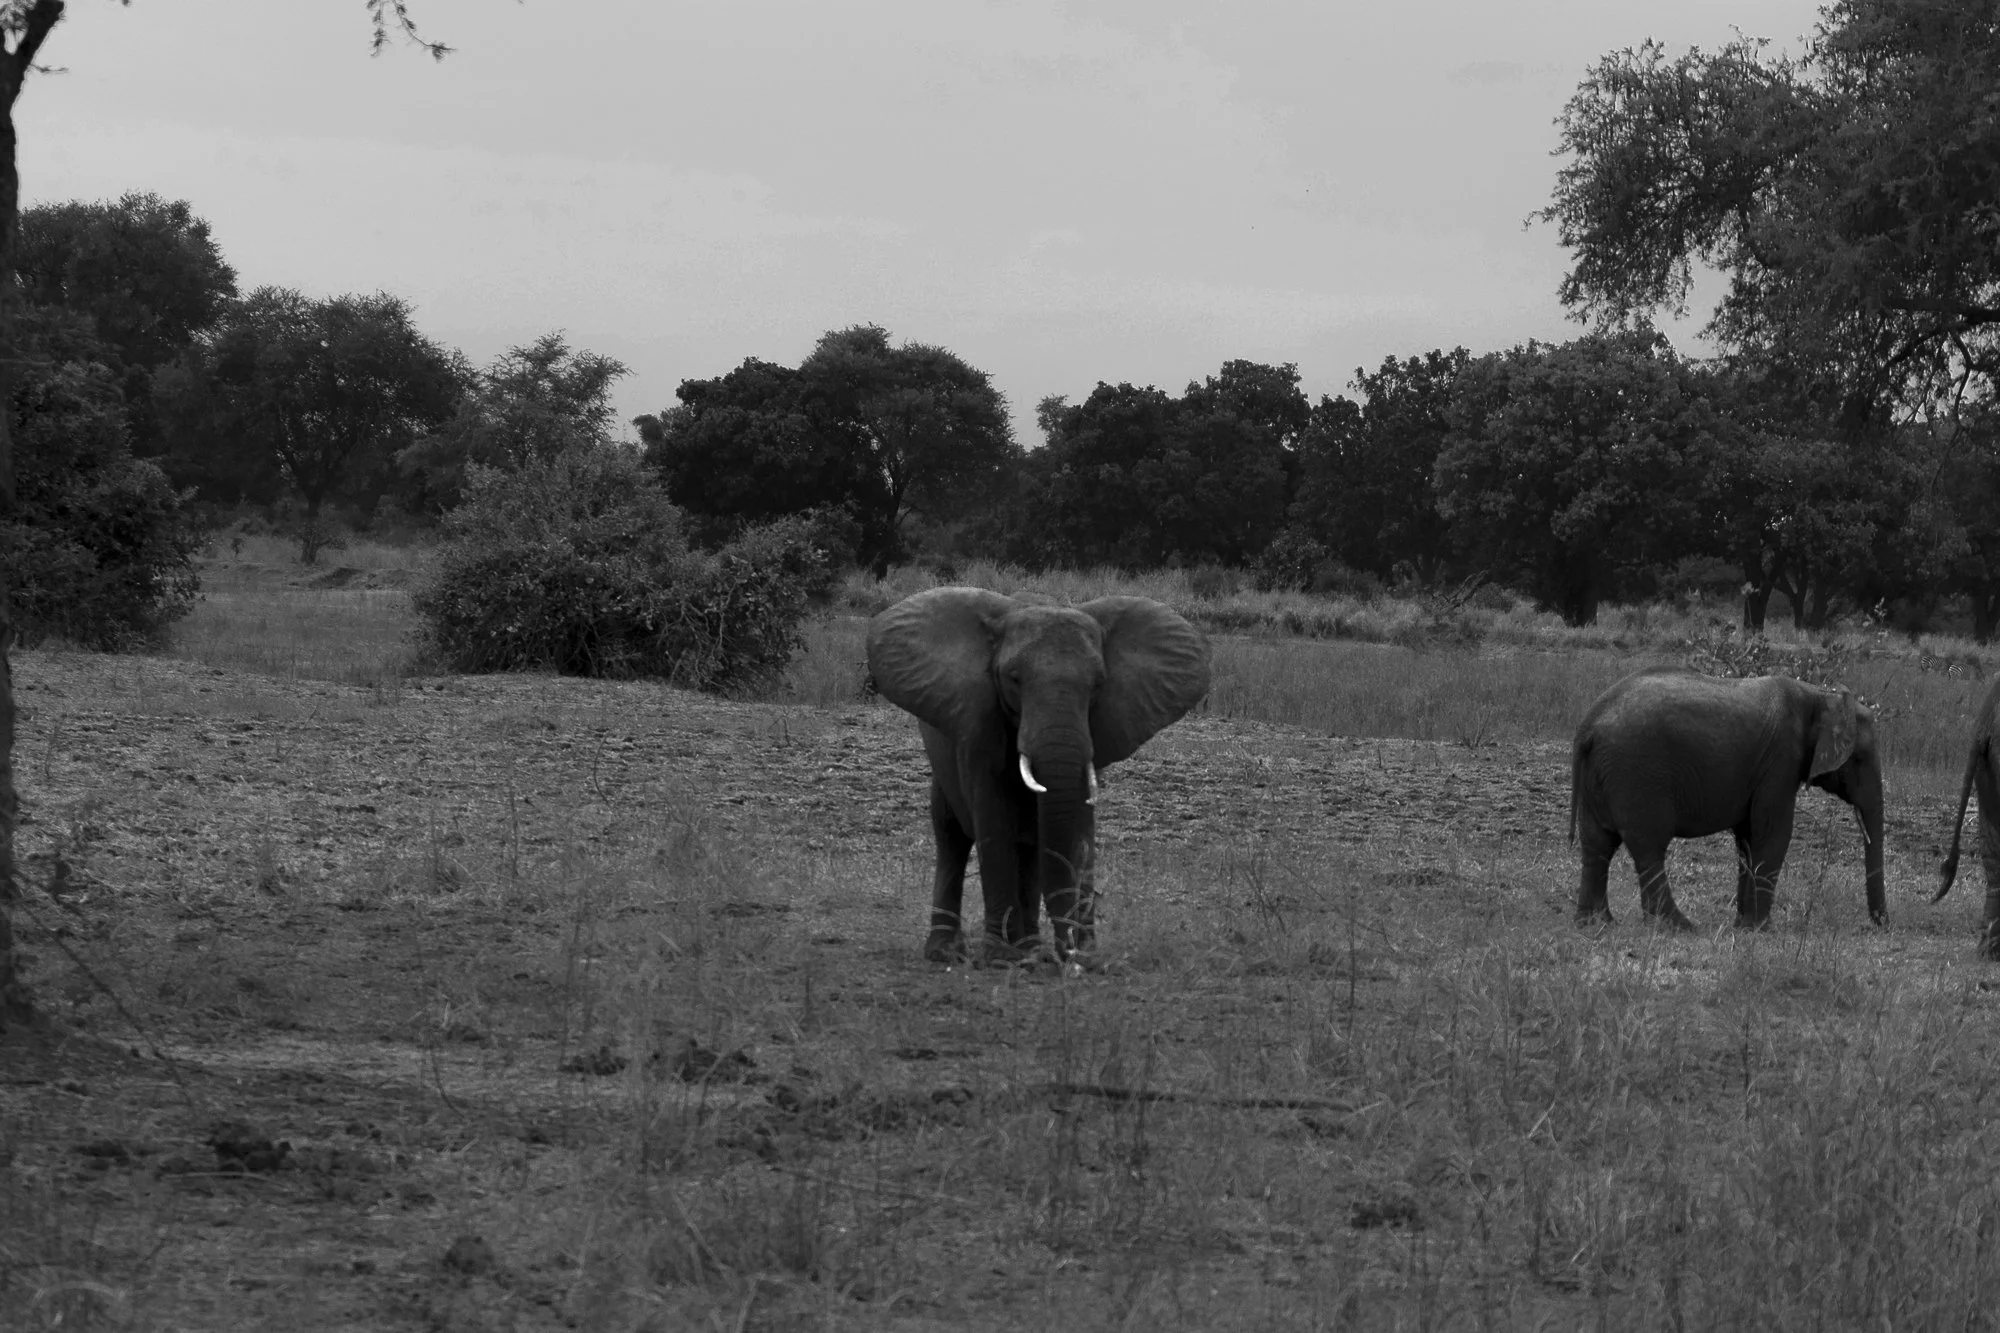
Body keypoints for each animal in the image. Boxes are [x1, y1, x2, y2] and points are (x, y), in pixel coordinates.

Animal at [866, 587, 1211, 963]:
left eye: (1098, 684)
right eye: (1014, 678)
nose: (1069, 952)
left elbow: (1077, 826)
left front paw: (1082, 958)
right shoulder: (978, 722)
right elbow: (993, 820)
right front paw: (1000, 959)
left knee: (1028, 843)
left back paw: (1029, 950)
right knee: (951, 833)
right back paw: (950, 954)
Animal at [1570, 667, 1885, 930]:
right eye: (1859, 758)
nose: (1879, 925)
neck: (1820, 696)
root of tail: (1589, 722)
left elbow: (1747, 838)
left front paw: (1742, 925)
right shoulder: (1780, 761)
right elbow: (1772, 833)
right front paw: (1759, 930)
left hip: (1602, 774)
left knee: (1597, 843)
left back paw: (1596, 924)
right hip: (1638, 772)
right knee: (1648, 845)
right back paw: (1679, 926)